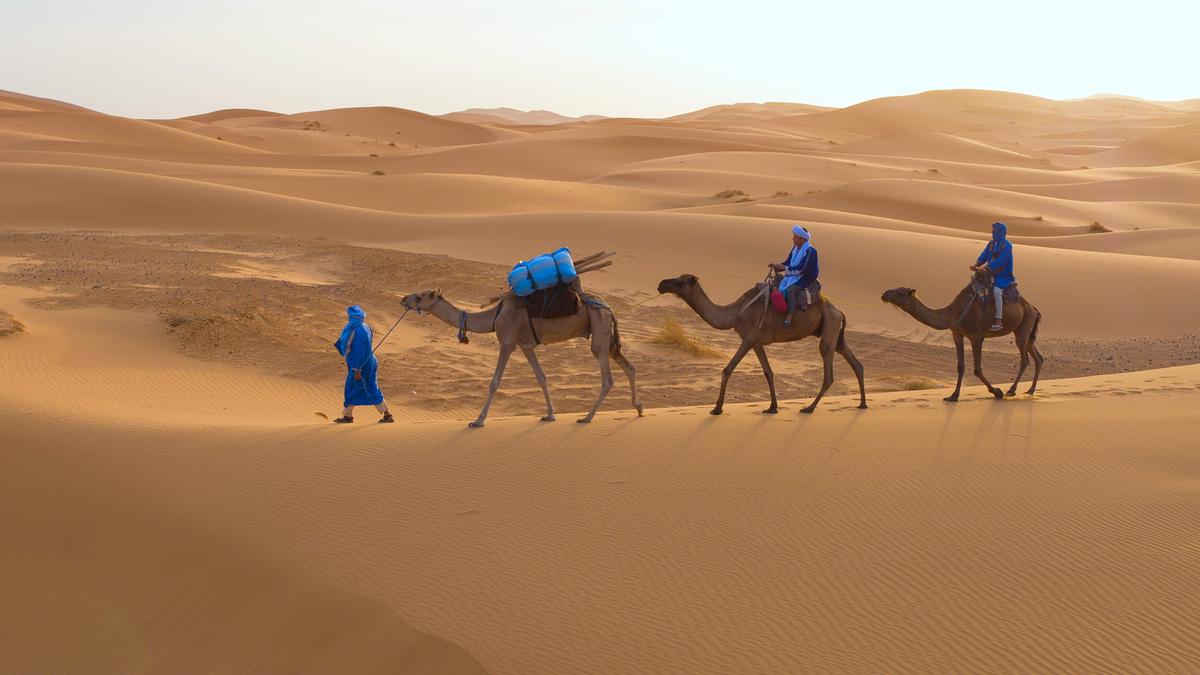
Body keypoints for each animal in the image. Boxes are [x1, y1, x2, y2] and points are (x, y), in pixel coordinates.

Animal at [398, 288, 643, 425]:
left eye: (420, 297)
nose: (403, 300)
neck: (495, 316)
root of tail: (608, 307)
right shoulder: (526, 345)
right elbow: (542, 378)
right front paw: (549, 415)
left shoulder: (507, 343)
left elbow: (494, 382)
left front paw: (478, 420)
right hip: (605, 335)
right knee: (629, 367)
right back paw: (638, 407)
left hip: (599, 330)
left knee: (607, 378)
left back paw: (587, 417)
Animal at [657, 271, 864, 410]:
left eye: (679, 281)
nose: (661, 284)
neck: (735, 313)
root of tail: (839, 311)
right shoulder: (756, 343)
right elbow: (768, 372)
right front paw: (772, 407)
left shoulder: (748, 338)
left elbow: (727, 370)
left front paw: (717, 408)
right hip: (833, 331)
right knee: (855, 363)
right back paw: (862, 404)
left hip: (829, 328)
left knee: (828, 371)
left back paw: (809, 408)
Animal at [883, 266, 1041, 398]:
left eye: (900, 292)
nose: (885, 294)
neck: (954, 313)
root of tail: (1033, 308)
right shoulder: (957, 334)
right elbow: (960, 366)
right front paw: (953, 396)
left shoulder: (977, 337)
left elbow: (977, 369)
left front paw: (997, 392)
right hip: (1026, 330)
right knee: (1038, 357)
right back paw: (1031, 390)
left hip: (1024, 327)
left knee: (1025, 359)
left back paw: (1011, 390)